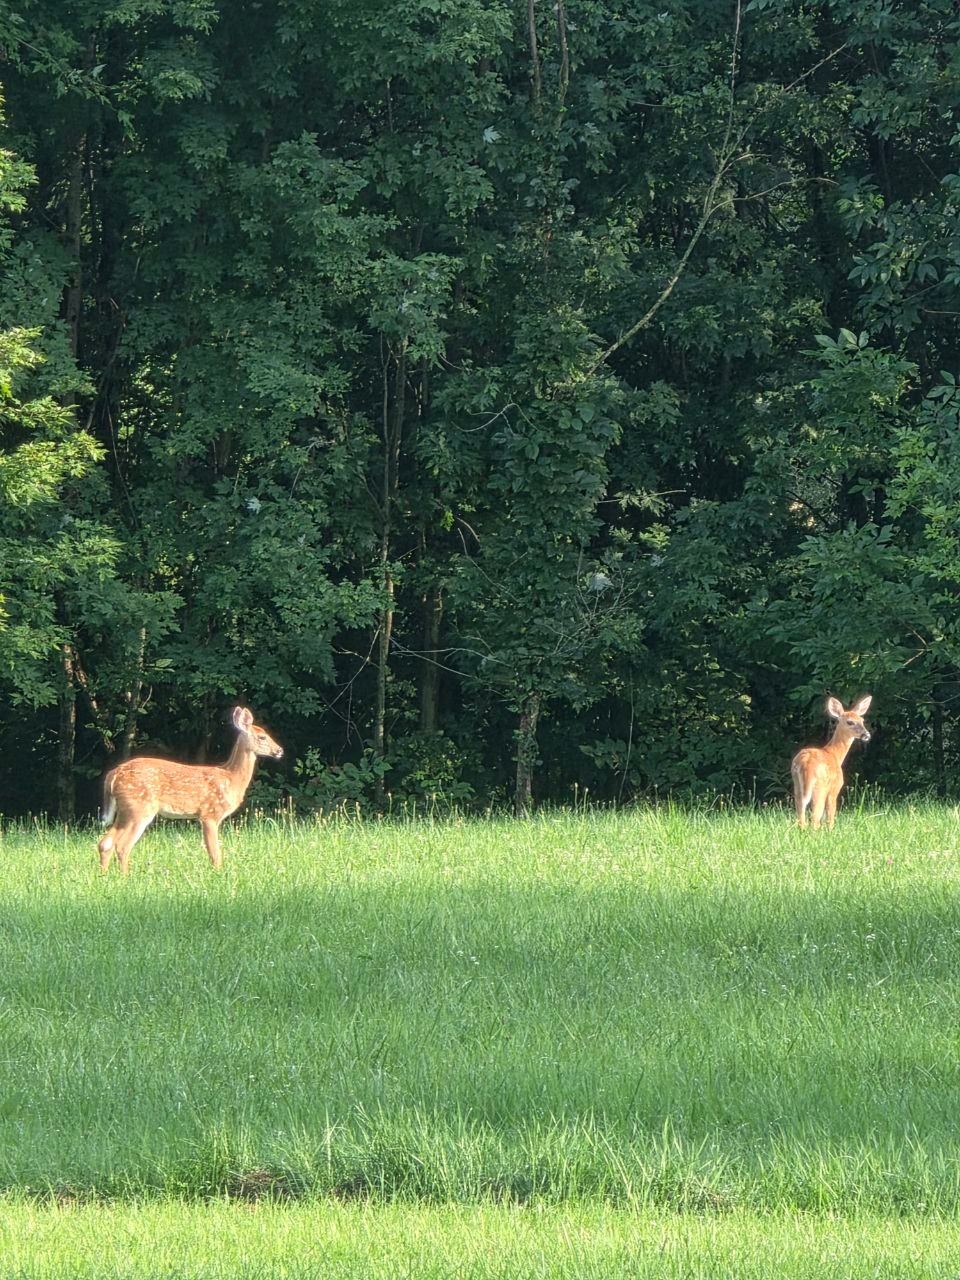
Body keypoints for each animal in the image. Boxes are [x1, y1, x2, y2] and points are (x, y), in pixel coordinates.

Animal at [97, 706, 283, 873]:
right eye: (262, 737)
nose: (280, 750)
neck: (231, 779)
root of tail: (114, 774)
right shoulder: (210, 813)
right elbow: (215, 853)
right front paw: (218, 875)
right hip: (140, 807)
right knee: (122, 845)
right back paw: (125, 876)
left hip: (125, 810)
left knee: (105, 842)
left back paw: (105, 876)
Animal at [791, 694, 872, 830]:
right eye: (850, 722)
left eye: (862, 720)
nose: (866, 735)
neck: (834, 754)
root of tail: (805, 764)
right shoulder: (834, 788)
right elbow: (830, 817)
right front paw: (831, 831)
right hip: (820, 787)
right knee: (815, 819)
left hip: (797, 785)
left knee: (801, 818)